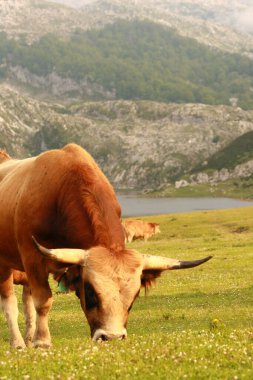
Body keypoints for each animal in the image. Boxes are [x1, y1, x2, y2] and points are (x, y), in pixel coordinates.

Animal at [0, 144, 211, 348]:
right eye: (91, 292)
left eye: (134, 297)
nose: (111, 337)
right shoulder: (32, 259)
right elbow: (42, 301)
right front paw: (42, 342)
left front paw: (35, 340)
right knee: (10, 304)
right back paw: (18, 343)